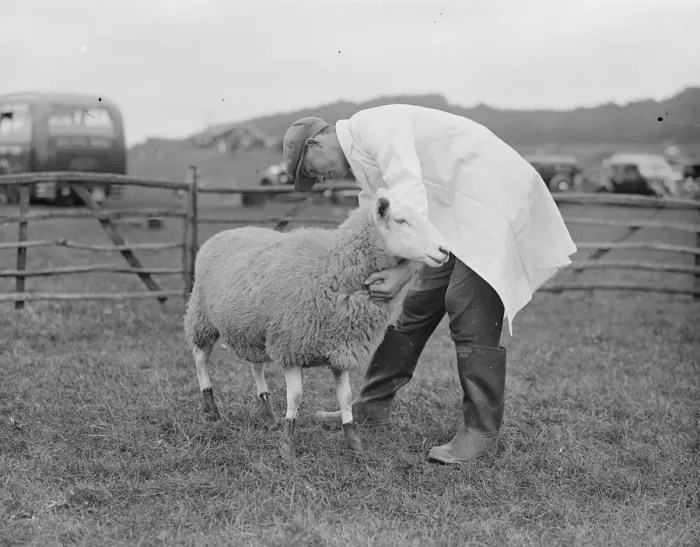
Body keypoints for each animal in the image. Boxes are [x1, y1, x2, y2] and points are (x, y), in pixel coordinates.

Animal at [183, 187, 450, 460]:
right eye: (400, 220)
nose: (444, 250)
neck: (333, 268)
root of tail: (224, 233)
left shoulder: (342, 348)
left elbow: (345, 397)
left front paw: (354, 443)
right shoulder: (290, 346)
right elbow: (296, 397)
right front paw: (287, 445)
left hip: (253, 329)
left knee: (256, 366)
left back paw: (267, 413)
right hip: (202, 317)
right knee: (200, 358)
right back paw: (211, 409)